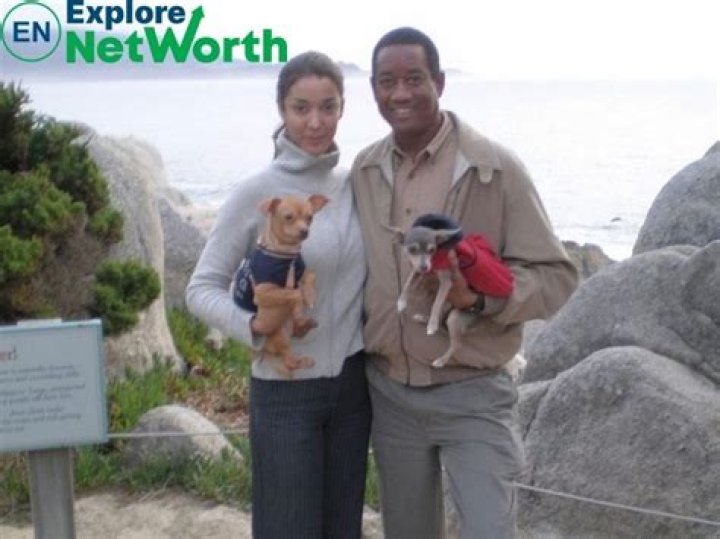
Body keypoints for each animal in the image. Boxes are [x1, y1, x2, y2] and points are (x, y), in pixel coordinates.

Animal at [234, 194, 328, 378]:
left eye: (310, 217)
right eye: (288, 217)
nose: (304, 231)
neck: (286, 254)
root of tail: (260, 350)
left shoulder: (300, 272)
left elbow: (311, 276)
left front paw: (309, 295)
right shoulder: (263, 293)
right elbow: (294, 294)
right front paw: (300, 305)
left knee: (297, 337)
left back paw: (307, 324)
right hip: (280, 335)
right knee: (289, 362)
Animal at [387, 213, 516, 369]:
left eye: (432, 250)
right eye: (412, 250)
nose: (425, 266)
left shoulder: (446, 282)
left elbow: (436, 303)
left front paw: (432, 325)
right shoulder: (417, 270)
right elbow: (407, 283)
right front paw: (401, 301)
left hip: (454, 318)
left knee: (456, 344)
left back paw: (441, 359)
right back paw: (425, 318)